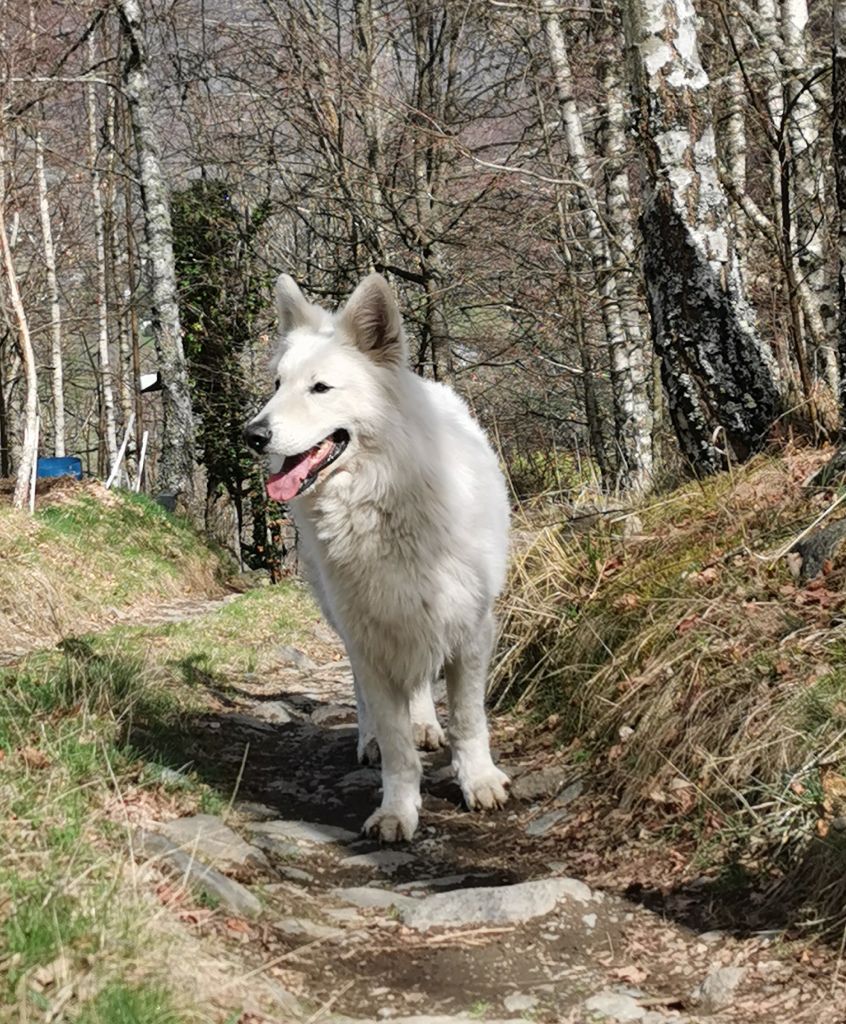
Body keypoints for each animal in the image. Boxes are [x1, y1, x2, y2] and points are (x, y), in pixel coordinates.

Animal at [242, 274, 508, 839]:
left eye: (320, 388)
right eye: (276, 385)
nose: (252, 435)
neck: (379, 504)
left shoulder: (469, 629)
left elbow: (468, 719)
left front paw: (477, 780)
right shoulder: (370, 637)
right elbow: (395, 742)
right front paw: (396, 811)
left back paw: (427, 723)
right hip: (349, 623)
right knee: (367, 697)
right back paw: (370, 741)